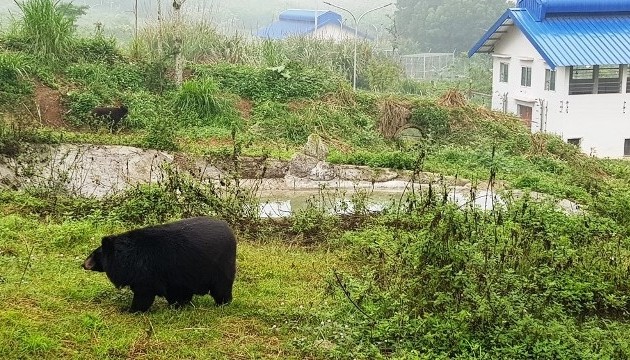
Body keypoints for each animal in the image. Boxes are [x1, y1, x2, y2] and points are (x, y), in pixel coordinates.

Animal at [81, 217, 235, 312]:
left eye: (94, 254)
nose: (83, 264)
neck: (126, 258)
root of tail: (230, 232)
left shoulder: (145, 273)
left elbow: (144, 295)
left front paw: (130, 310)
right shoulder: (174, 277)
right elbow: (177, 292)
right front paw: (178, 305)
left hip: (220, 265)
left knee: (221, 288)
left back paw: (222, 304)